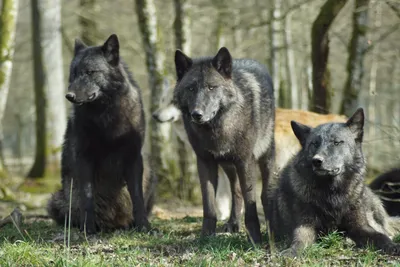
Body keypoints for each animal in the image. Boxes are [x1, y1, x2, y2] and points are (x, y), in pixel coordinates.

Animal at [45, 34, 155, 234]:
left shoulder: (133, 157)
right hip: (57, 199)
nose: (69, 96)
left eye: (90, 72)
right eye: (74, 73)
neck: (106, 116)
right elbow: (87, 197)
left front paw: (144, 226)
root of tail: (113, 224)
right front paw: (88, 229)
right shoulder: (84, 158)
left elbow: (137, 197)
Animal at [172, 47, 276, 244]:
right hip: (228, 165)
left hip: (264, 158)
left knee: (264, 193)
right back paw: (233, 223)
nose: (197, 114)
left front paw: (255, 239)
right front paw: (206, 236)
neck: (217, 129)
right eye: (191, 88)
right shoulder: (205, 162)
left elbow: (251, 203)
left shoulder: (245, 161)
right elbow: (209, 205)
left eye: (211, 87)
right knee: (236, 192)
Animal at [266, 108, 400, 258]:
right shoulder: (305, 226)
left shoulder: (360, 226)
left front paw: (393, 246)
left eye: (336, 142)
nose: (316, 161)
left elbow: (380, 236)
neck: (332, 192)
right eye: (314, 143)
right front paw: (291, 252)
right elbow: (299, 240)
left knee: (385, 229)